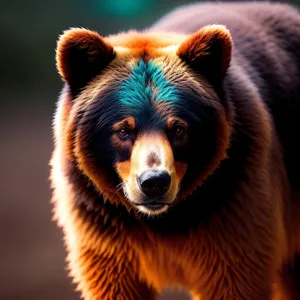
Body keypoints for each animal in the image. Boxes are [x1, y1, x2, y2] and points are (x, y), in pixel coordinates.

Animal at [49, 2, 300, 300]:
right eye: (123, 130)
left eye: (179, 129)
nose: (154, 182)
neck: (164, 221)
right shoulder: (104, 226)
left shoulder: (233, 205)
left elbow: (236, 278)